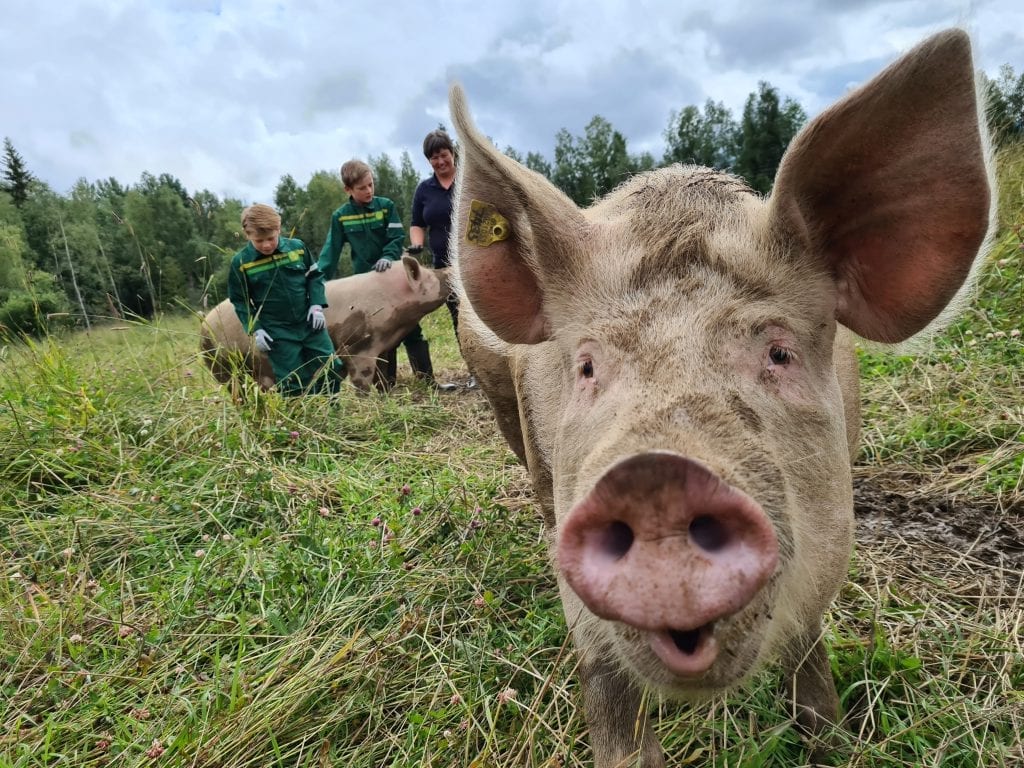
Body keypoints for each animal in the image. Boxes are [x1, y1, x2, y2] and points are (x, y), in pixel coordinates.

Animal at [199, 256, 448, 393]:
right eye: (428, 276)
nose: (446, 270)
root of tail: (204, 323)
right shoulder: (356, 346)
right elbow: (362, 380)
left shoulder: (383, 347)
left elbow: (383, 377)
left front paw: (386, 397)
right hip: (222, 367)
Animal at [448, 27, 991, 765]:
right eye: (587, 366)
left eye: (779, 353)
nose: (654, 476)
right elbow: (609, 693)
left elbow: (808, 652)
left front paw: (830, 741)